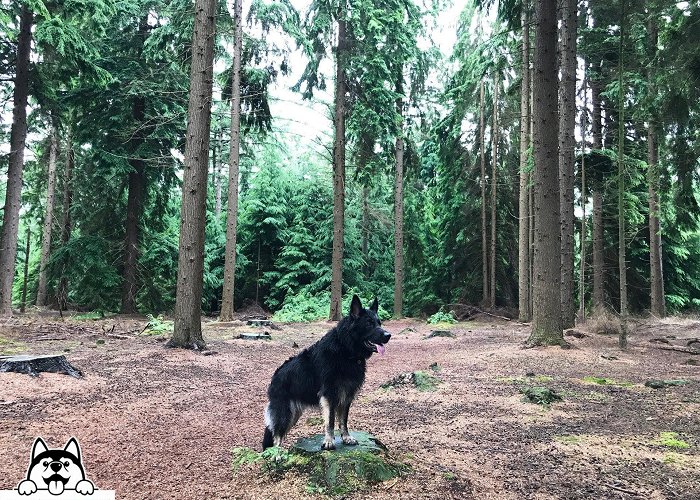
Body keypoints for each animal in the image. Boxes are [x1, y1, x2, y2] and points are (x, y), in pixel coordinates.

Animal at [264, 294, 392, 452]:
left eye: (379, 323)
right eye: (369, 324)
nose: (388, 335)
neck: (346, 350)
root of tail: (274, 377)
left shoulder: (347, 396)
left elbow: (343, 420)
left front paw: (346, 438)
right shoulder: (329, 395)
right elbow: (330, 421)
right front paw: (329, 441)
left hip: (294, 414)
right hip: (285, 413)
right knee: (276, 437)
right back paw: (277, 453)